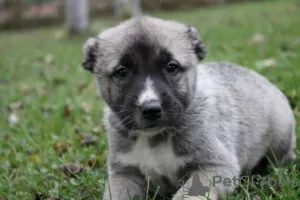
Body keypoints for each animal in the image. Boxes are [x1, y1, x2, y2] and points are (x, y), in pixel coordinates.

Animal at [80, 16, 296, 200]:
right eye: (122, 72)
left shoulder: (214, 166)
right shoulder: (124, 173)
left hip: (280, 137)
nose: (151, 109)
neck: (154, 138)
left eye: (171, 67)